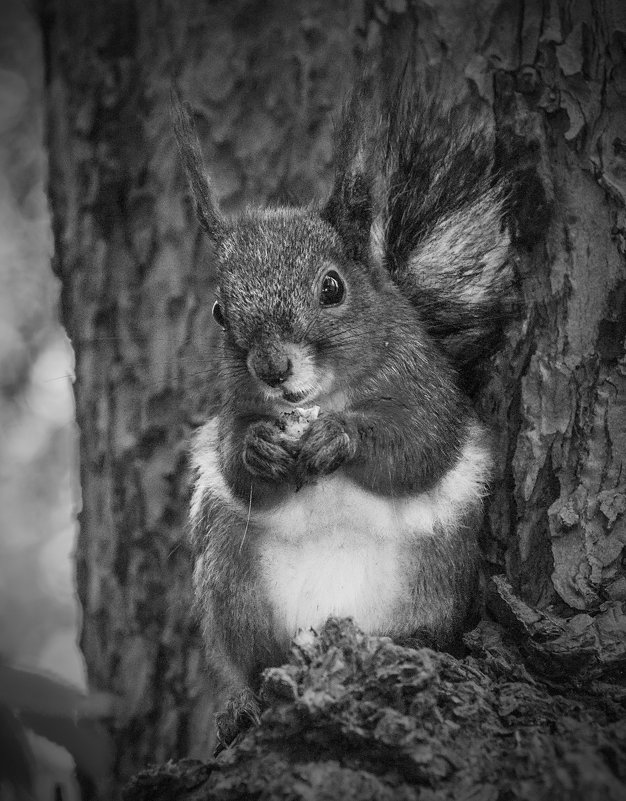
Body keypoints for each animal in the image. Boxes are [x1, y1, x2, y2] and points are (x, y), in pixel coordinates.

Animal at [172, 73, 512, 700]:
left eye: (332, 287)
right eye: (218, 312)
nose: (272, 368)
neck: (321, 400)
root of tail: (326, 634)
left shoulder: (430, 387)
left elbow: (420, 445)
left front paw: (340, 439)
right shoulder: (234, 408)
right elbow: (234, 462)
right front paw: (258, 448)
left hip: (435, 577)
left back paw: (417, 643)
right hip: (233, 576)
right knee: (255, 659)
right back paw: (252, 697)